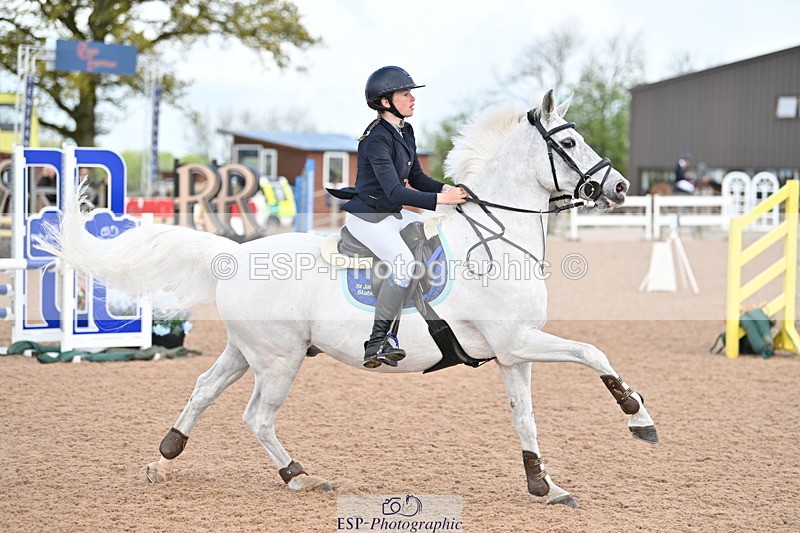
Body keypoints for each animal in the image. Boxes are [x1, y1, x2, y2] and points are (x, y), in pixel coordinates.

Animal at [36, 90, 657, 509]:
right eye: (569, 142)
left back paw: (164, 457)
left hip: (248, 351)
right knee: (256, 416)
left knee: (204, 390)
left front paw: (543, 485)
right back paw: (299, 475)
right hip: (280, 360)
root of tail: (234, 255)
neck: (498, 237)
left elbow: (524, 418)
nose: (621, 187)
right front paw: (638, 418)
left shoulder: (512, 352)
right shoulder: (519, 340)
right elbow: (594, 353)